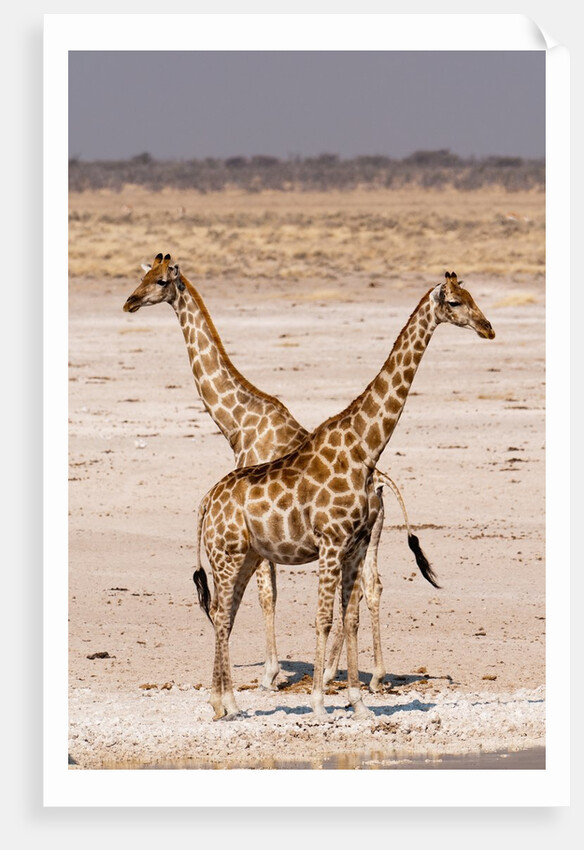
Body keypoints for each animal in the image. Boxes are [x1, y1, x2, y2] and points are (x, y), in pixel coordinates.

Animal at [123, 253, 434, 692]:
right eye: (143, 275)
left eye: (161, 281)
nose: (130, 301)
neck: (238, 423)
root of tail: (381, 483)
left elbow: (266, 593)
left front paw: (270, 674)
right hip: (372, 535)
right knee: (371, 587)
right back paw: (370, 675)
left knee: (356, 592)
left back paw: (335, 672)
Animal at [193, 272, 495, 719]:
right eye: (455, 302)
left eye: (473, 297)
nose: (487, 328)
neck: (365, 448)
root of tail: (207, 502)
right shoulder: (332, 543)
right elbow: (323, 619)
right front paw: (319, 702)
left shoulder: (357, 543)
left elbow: (349, 617)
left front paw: (358, 702)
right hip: (227, 557)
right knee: (221, 613)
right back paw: (224, 703)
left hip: (243, 557)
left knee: (224, 613)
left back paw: (226, 703)